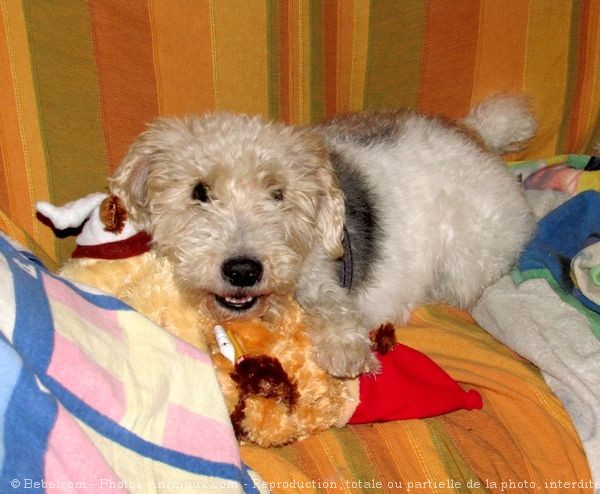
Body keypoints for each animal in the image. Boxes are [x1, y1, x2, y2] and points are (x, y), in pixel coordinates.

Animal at [110, 93, 536, 378]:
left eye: (278, 194)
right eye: (199, 191)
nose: (244, 271)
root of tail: (475, 135)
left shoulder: (319, 276)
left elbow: (330, 305)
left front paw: (343, 348)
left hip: (468, 261)